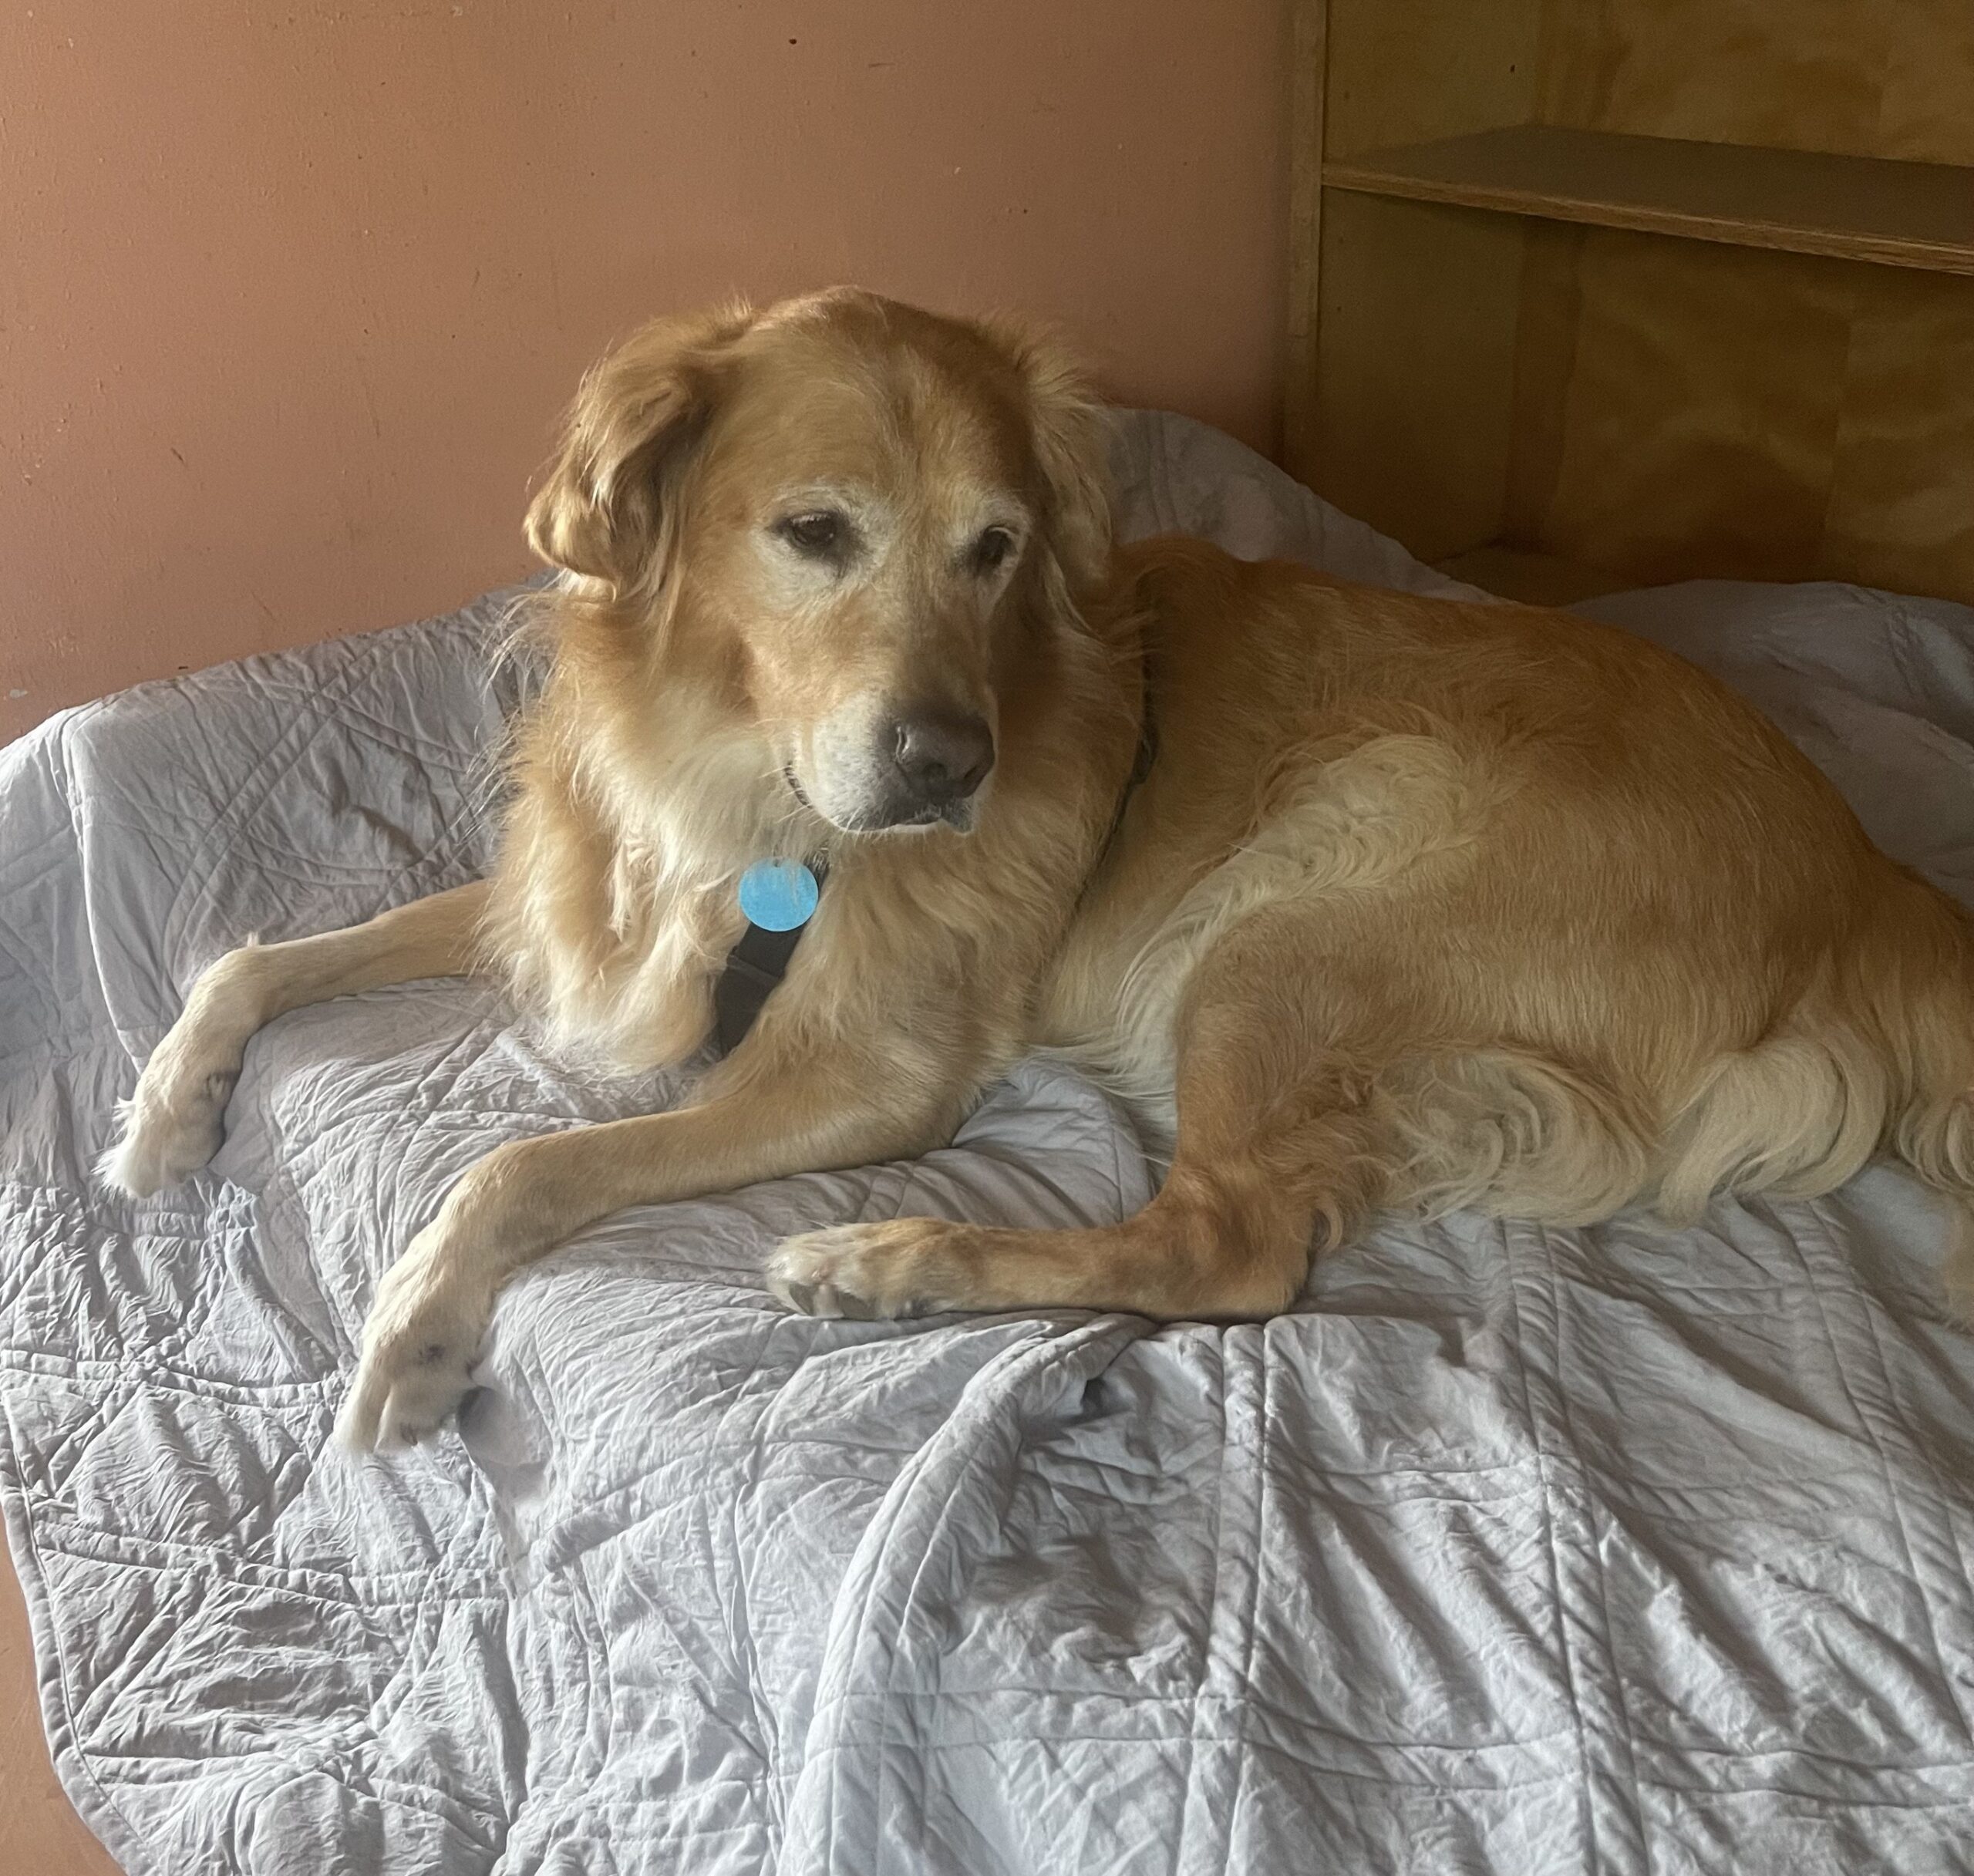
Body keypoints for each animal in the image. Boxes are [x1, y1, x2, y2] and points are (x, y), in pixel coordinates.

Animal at [102, 287, 1974, 1451]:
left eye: (996, 548)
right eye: (814, 532)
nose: (951, 766)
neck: (737, 774)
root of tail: (1863, 873)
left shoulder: (864, 1073)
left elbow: (520, 1166)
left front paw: (417, 1333)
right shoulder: (566, 917)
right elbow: (259, 954)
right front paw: (164, 1112)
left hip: (1289, 915)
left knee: (1223, 1246)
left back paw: (898, 1264)